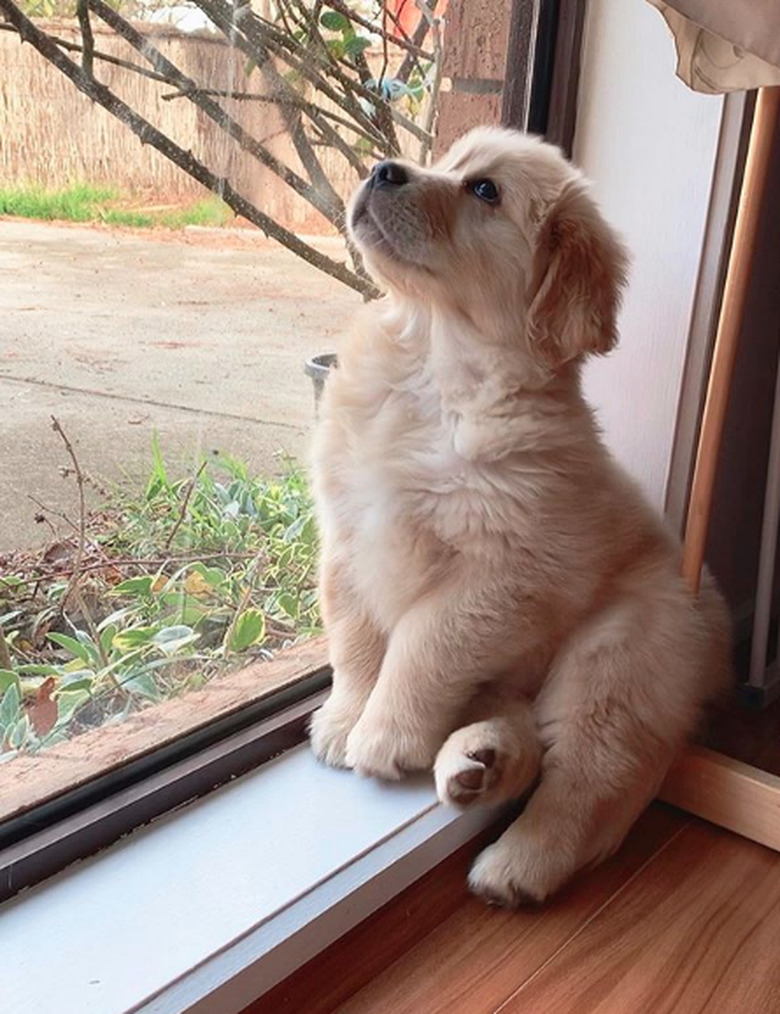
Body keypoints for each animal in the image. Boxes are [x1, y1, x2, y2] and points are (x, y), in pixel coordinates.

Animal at [306, 124, 730, 904]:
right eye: (446, 162)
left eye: (484, 190)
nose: (383, 170)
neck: (432, 367)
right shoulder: (348, 537)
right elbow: (355, 639)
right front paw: (344, 717)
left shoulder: (507, 574)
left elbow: (421, 641)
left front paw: (382, 733)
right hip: (524, 672)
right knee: (525, 736)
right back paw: (480, 761)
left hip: (613, 662)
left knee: (586, 783)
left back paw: (517, 866)